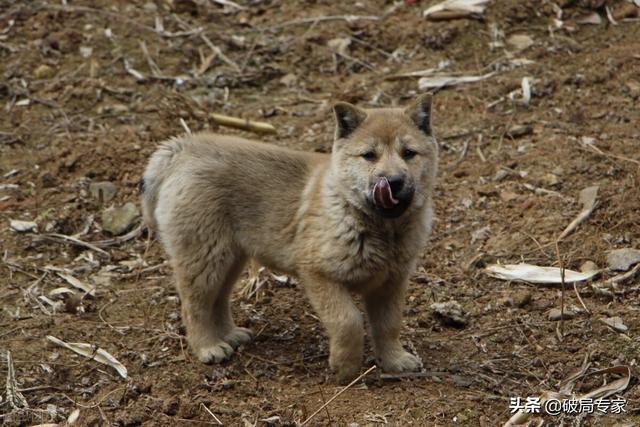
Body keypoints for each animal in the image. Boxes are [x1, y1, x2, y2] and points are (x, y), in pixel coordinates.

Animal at [142, 94, 438, 384]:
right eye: (369, 156)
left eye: (409, 153)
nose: (394, 181)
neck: (379, 227)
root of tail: (183, 148)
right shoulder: (319, 275)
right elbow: (348, 321)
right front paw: (345, 368)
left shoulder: (391, 283)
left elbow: (389, 325)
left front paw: (394, 360)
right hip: (205, 257)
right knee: (195, 306)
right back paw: (208, 347)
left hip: (229, 258)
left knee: (219, 299)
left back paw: (230, 335)